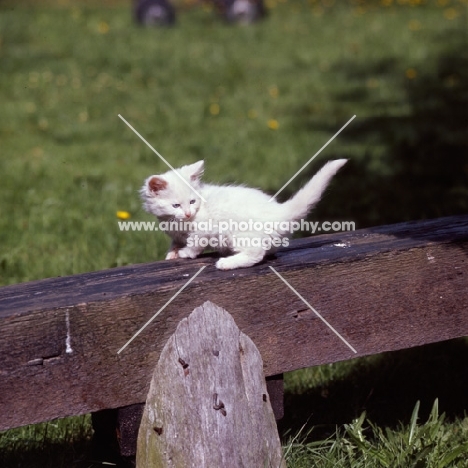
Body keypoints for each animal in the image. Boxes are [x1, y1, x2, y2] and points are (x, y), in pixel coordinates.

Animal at [141, 160, 346, 270]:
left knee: (256, 254)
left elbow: (194, 244)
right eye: (176, 205)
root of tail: (280, 211)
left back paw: (227, 262)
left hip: (238, 232)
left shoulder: (204, 229)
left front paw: (185, 253)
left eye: (192, 202)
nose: (188, 213)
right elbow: (176, 241)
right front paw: (172, 253)